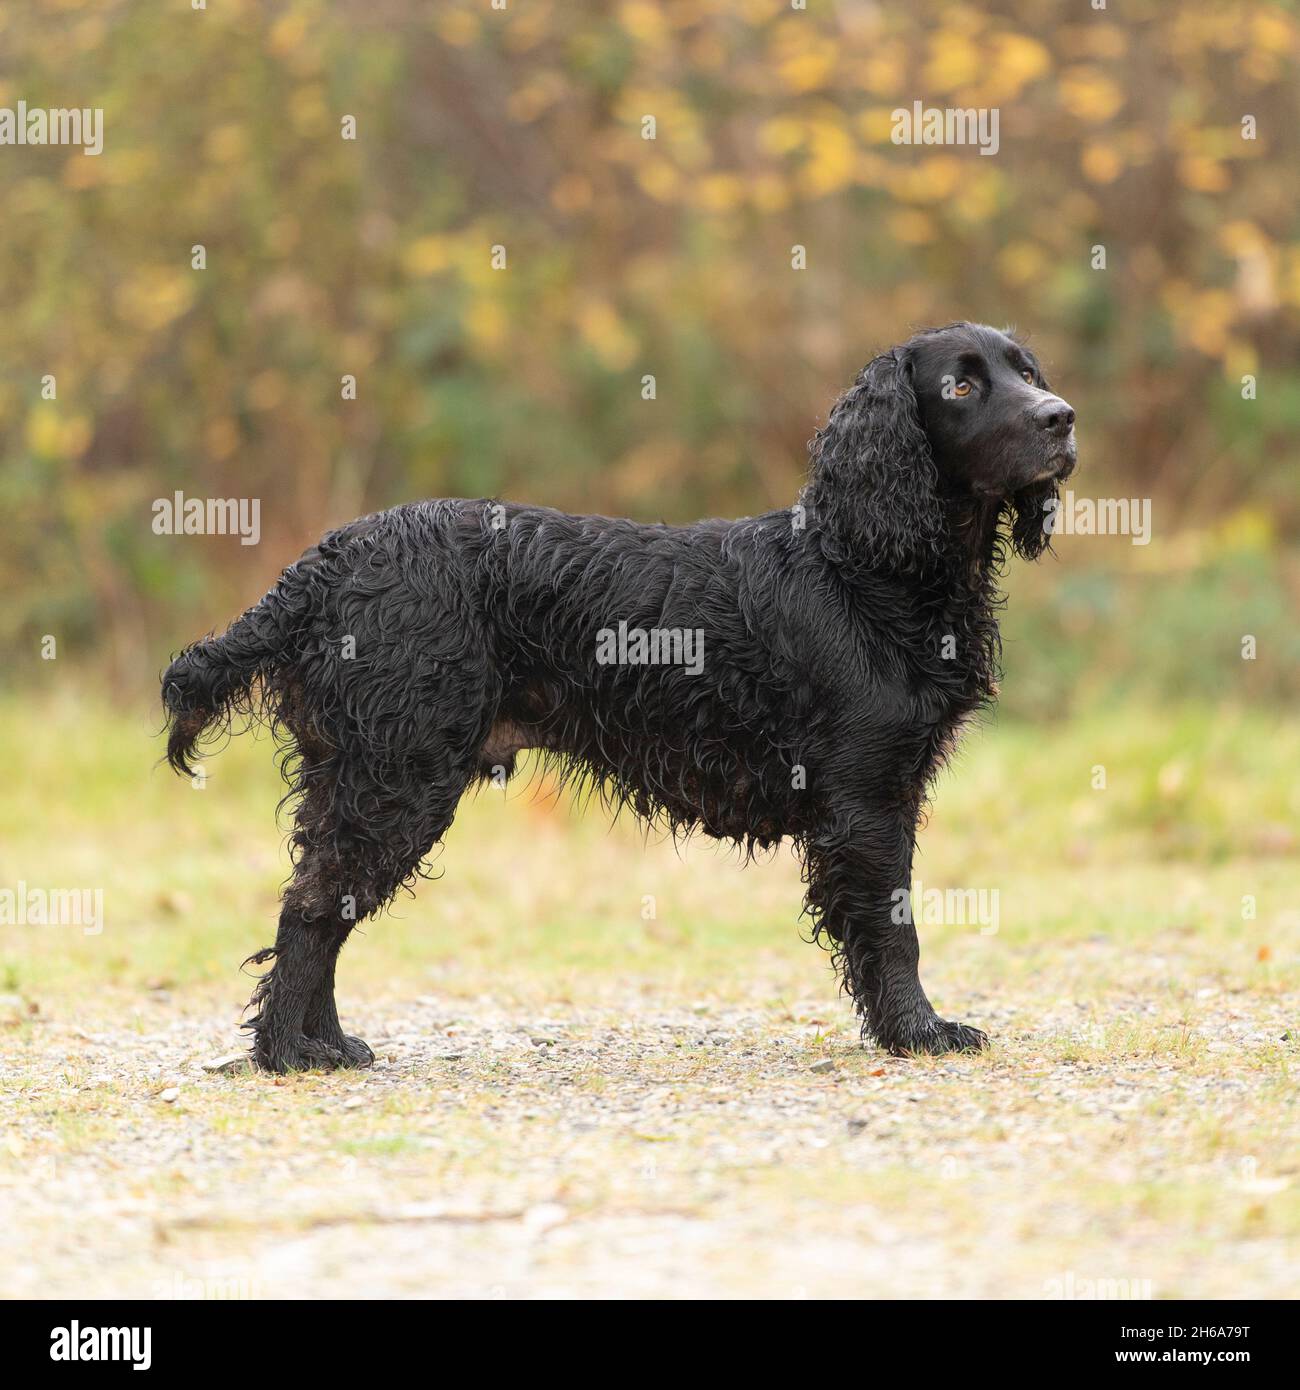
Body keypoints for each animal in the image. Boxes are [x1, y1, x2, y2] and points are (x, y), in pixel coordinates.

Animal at [162, 319, 1078, 1067]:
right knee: (314, 908)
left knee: (323, 904)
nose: (1062, 417)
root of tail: (321, 567)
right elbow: (894, 931)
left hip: (363, 774)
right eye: (960, 386)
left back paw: (325, 1042)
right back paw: (289, 1054)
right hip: (396, 775)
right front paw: (920, 1033)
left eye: (1025, 369)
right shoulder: (864, 799)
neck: (868, 568)